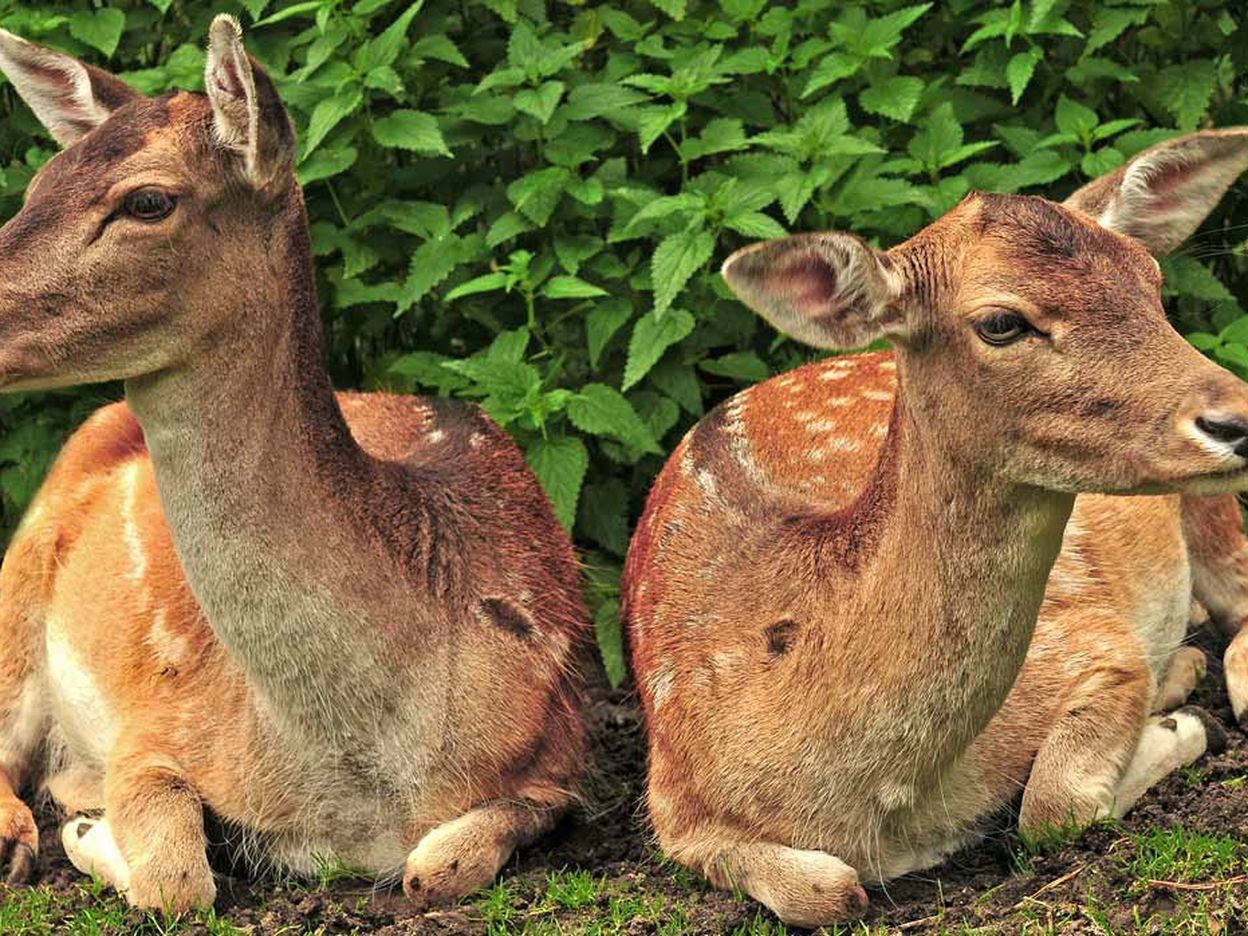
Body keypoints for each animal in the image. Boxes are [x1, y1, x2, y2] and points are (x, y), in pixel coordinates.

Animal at [0, 16, 589, 918]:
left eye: (147, 200)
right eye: (38, 183)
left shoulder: (562, 752)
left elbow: (438, 864)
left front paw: (89, 823)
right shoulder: (156, 721)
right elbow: (177, 879)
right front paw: (94, 833)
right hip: (17, 582)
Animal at [624, 128, 1248, 928]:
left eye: (1152, 281)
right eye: (1001, 322)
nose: (1235, 417)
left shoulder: (1094, 641)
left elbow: (1053, 806)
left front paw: (1183, 724)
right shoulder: (671, 801)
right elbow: (825, 889)